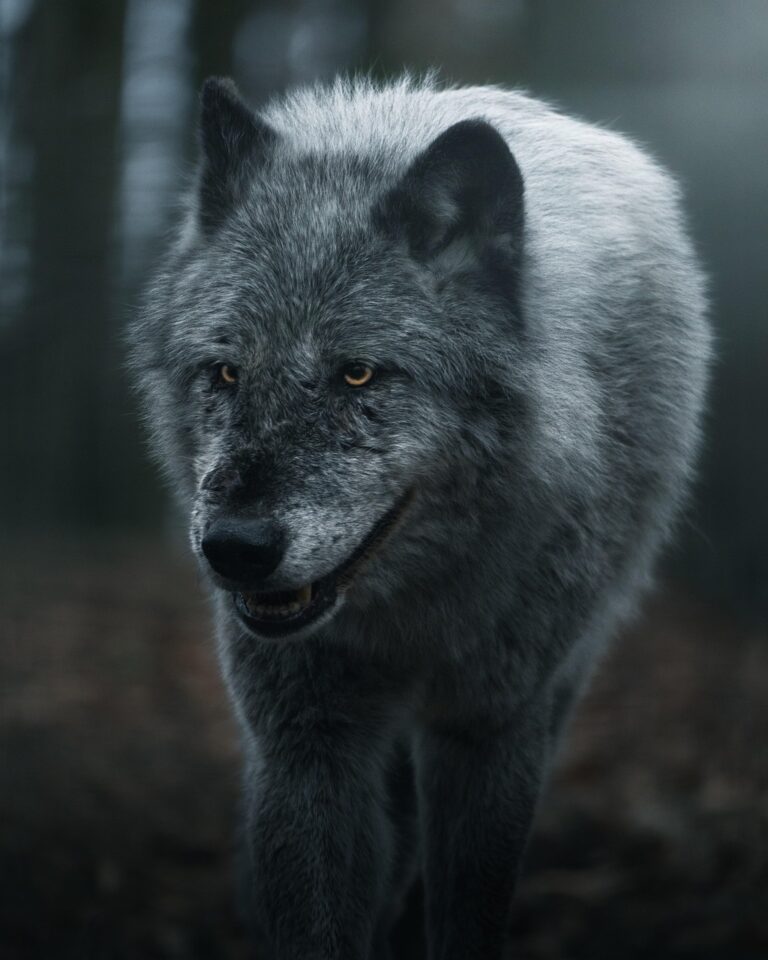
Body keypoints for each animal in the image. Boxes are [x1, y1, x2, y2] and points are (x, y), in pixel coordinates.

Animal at [129, 75, 710, 959]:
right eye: (225, 372)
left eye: (359, 375)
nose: (235, 549)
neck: (413, 610)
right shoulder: (306, 744)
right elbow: (318, 915)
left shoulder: (492, 732)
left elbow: (466, 910)